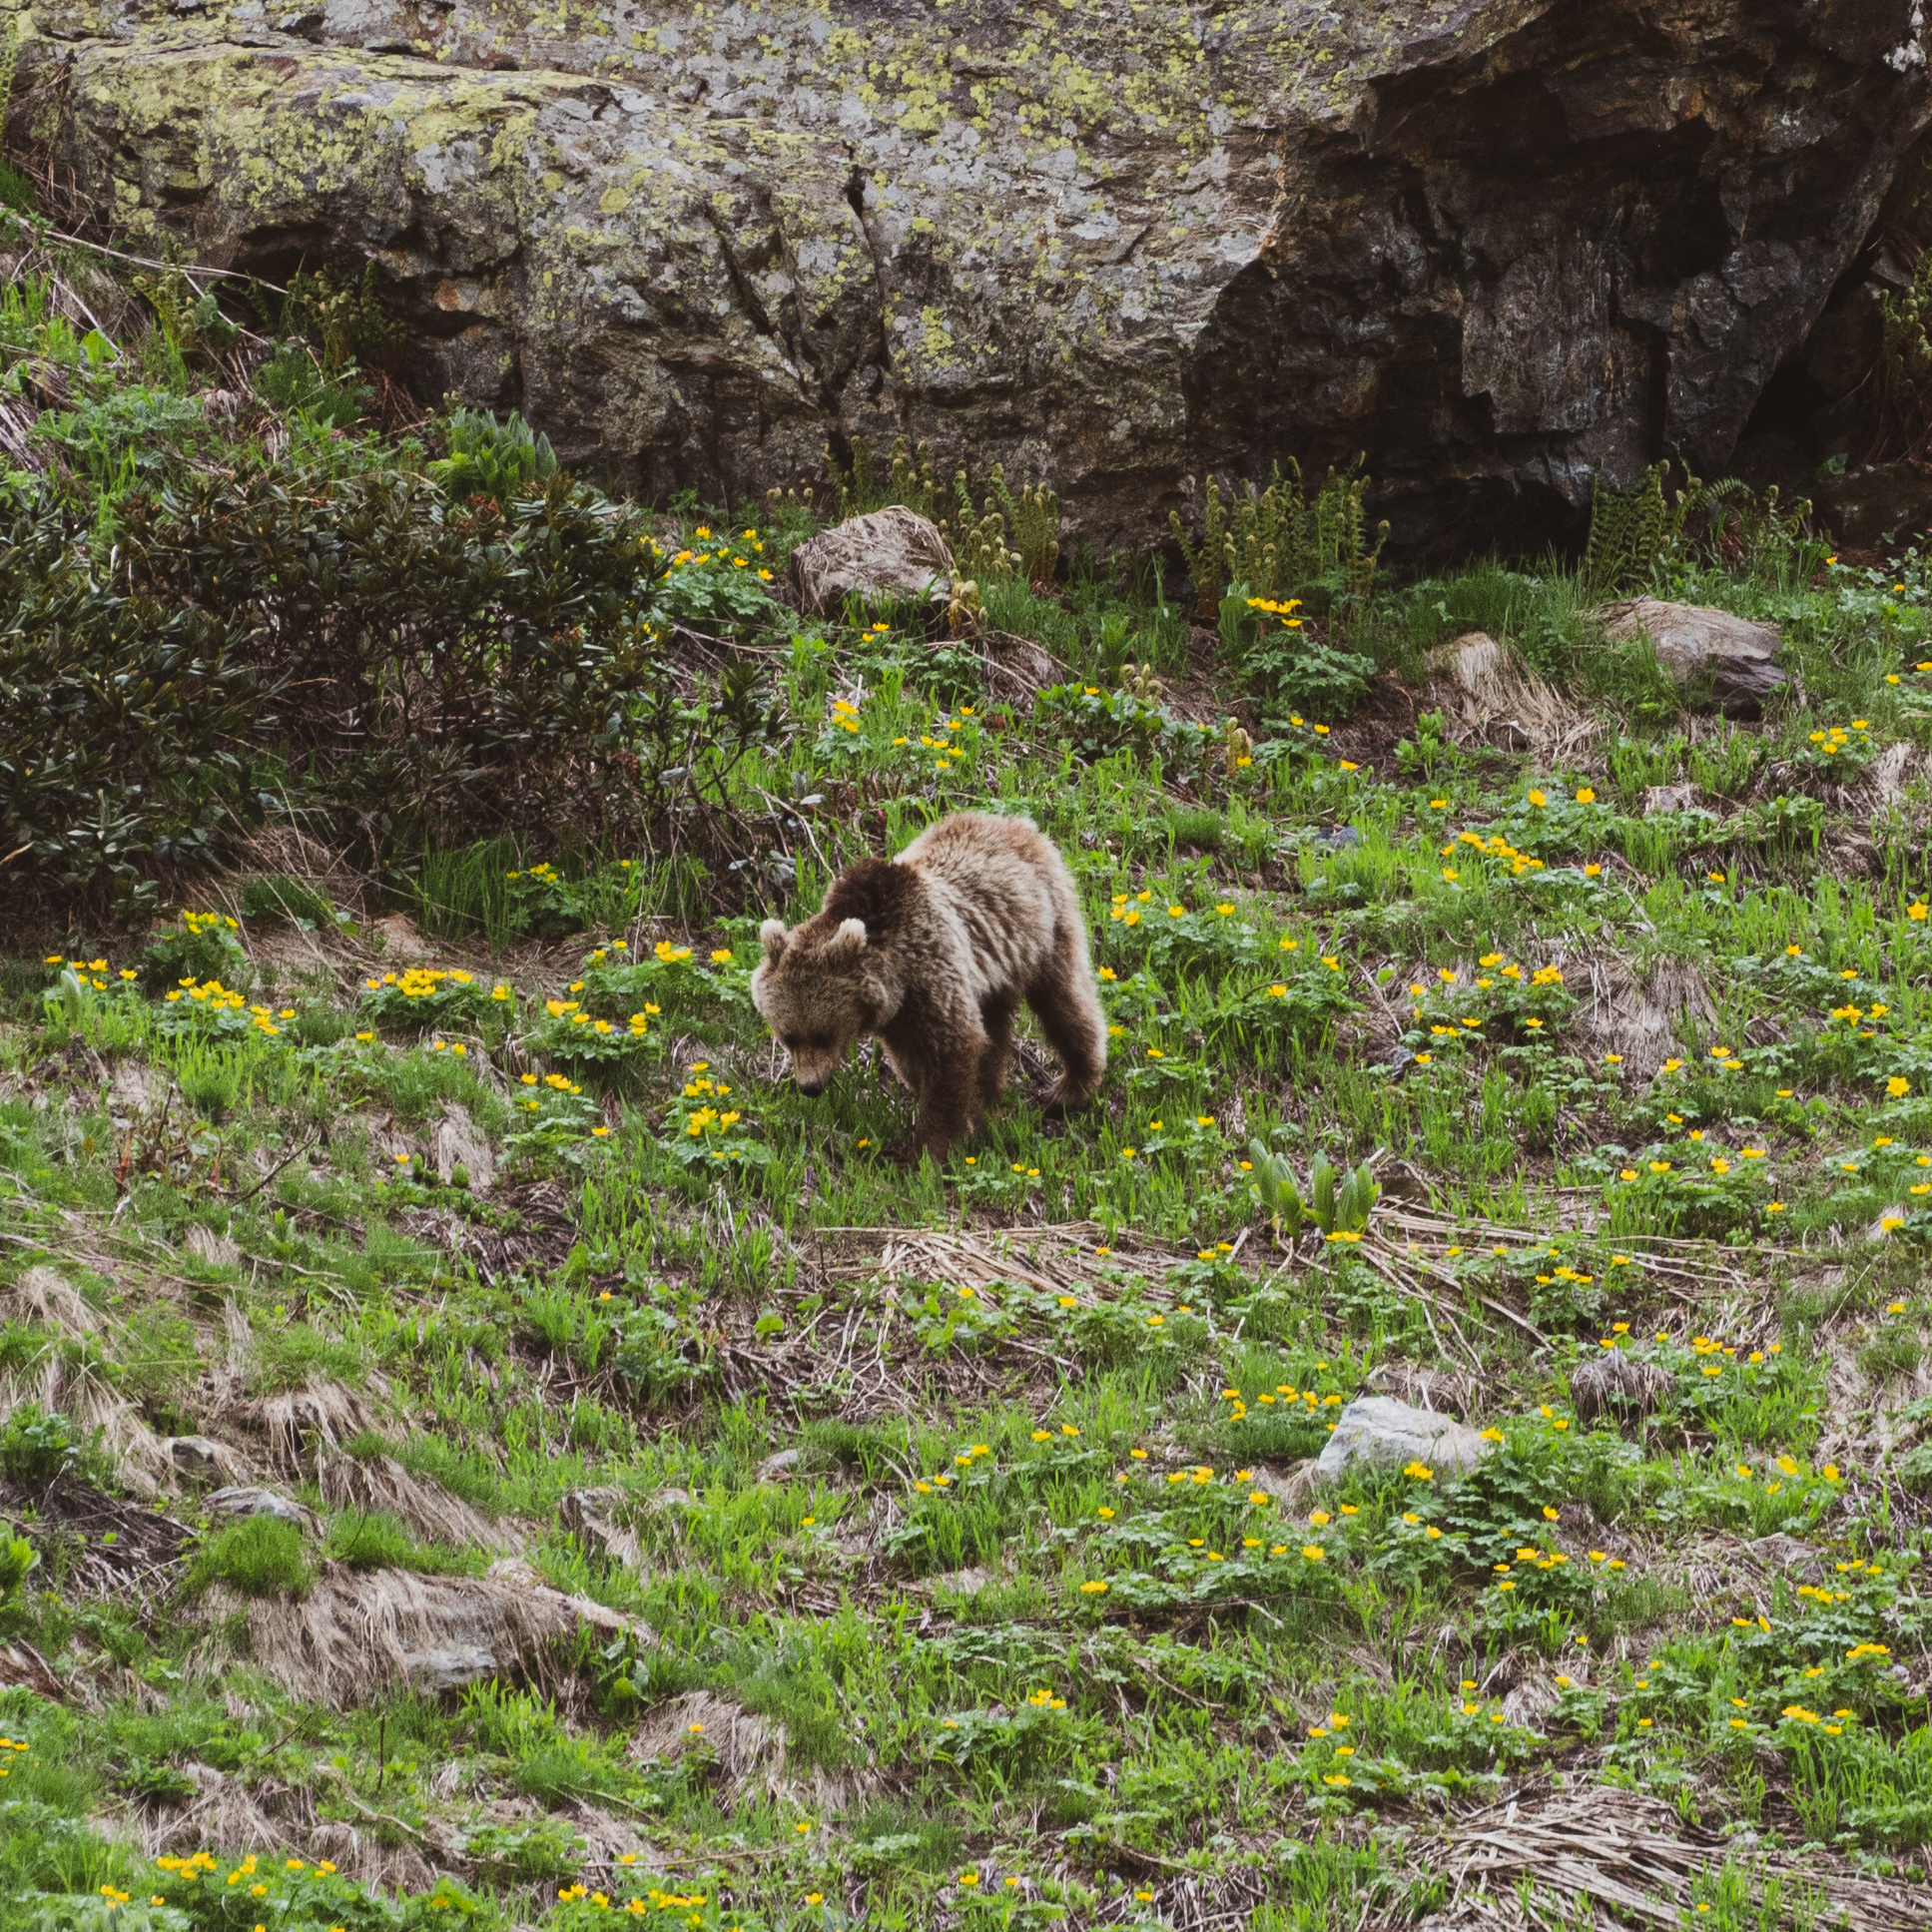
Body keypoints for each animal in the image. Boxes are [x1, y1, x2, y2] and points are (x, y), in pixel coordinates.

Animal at [757, 807, 1120, 1151]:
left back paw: (1072, 1088)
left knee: (1063, 1000)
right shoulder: (898, 1013)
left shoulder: (931, 971)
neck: (896, 973)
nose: (809, 1086)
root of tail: (1015, 822)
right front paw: (968, 1116)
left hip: (1043, 923)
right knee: (996, 1027)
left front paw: (933, 1148)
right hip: (994, 973)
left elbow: (953, 1048)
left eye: (823, 1035)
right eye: (788, 1036)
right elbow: (917, 1060)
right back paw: (992, 1100)